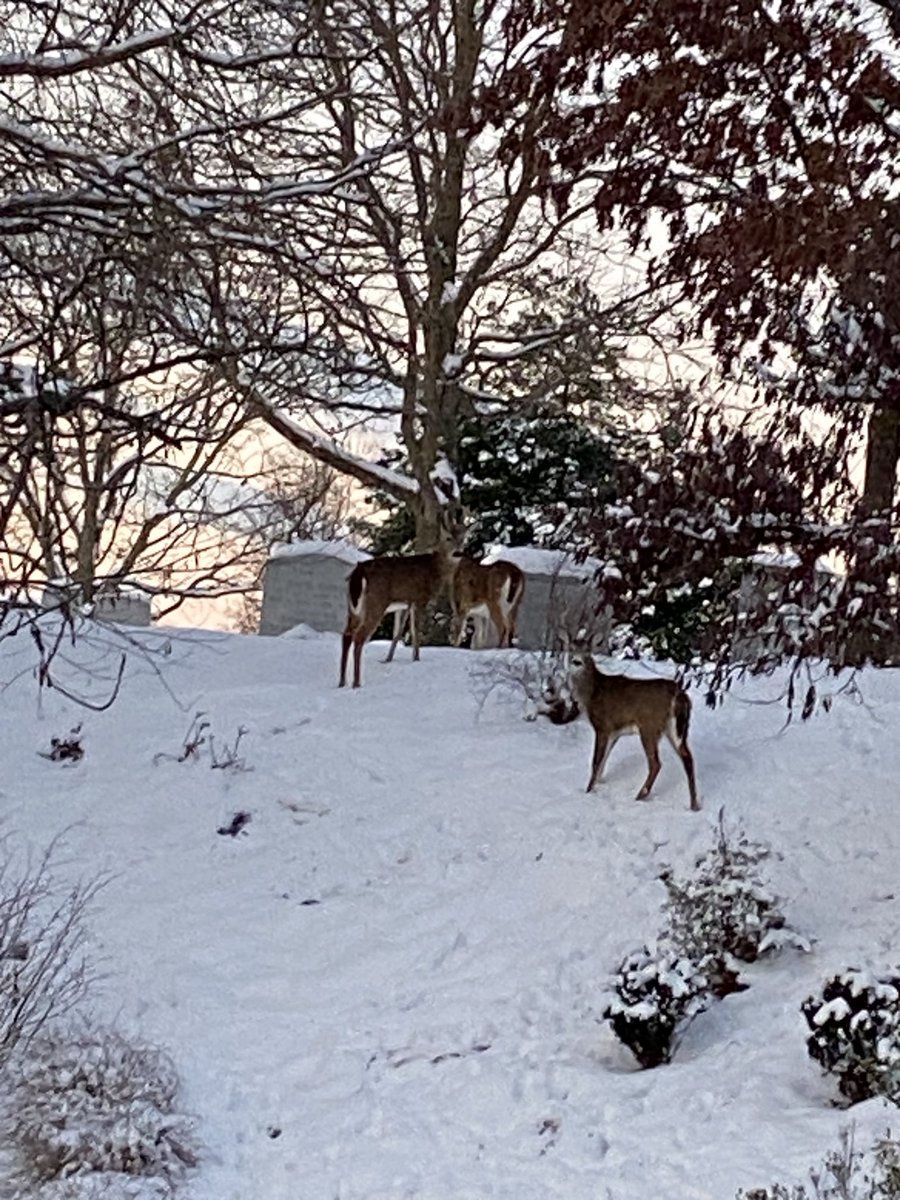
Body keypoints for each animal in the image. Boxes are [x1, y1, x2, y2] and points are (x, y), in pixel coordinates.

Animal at [336, 549, 458, 691]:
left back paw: (342, 682)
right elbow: (415, 630)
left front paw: (388, 659)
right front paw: (416, 659)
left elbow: (398, 632)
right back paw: (356, 683)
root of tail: (359, 571)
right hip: (375, 604)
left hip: (354, 609)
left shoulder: (405, 605)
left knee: (347, 634)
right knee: (359, 636)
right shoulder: (418, 600)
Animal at [566, 643, 700, 811]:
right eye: (571, 650)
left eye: (587, 653)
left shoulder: (603, 726)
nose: (575, 660)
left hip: (649, 727)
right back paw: (694, 804)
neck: (591, 694)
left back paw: (640, 795)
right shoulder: (614, 732)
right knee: (688, 758)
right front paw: (597, 785)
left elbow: (596, 761)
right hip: (676, 729)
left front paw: (588, 791)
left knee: (656, 763)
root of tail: (679, 694)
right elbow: (603, 761)